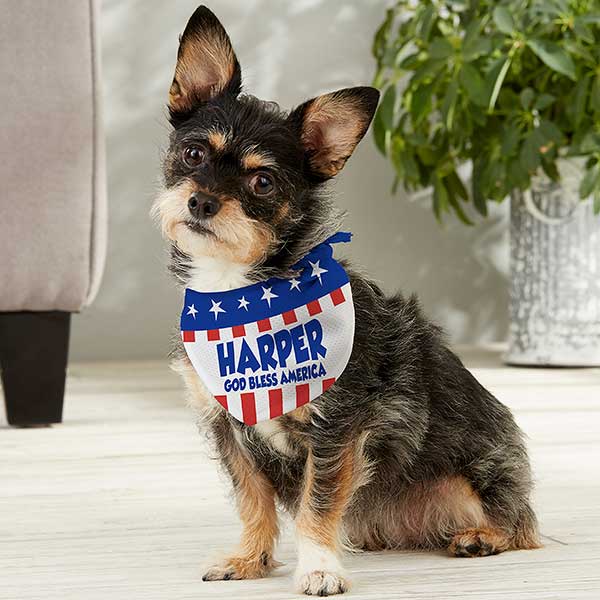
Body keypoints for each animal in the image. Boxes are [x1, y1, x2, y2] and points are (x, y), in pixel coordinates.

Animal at [152, 4, 540, 596]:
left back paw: (482, 536)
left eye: (263, 183)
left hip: (475, 479)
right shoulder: (229, 428)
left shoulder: (337, 429)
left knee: (521, 526)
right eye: (193, 153)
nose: (201, 201)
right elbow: (252, 499)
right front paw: (249, 559)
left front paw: (318, 567)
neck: (248, 292)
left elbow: (318, 503)